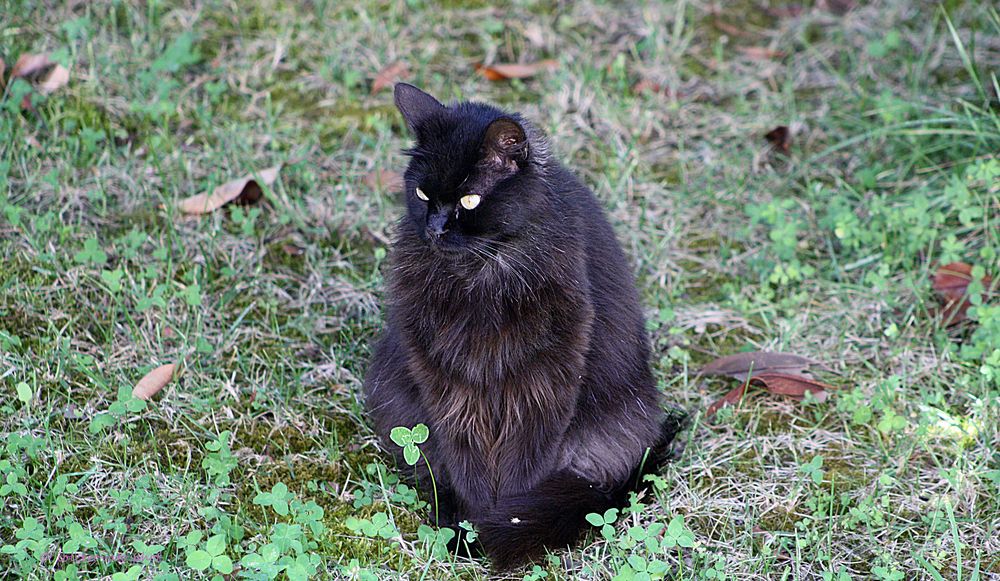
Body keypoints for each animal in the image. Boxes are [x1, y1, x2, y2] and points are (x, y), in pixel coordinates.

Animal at [364, 82, 684, 568]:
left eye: (470, 200)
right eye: (421, 194)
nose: (435, 229)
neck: (480, 278)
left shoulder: (542, 383)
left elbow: (523, 470)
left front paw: (507, 529)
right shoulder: (447, 383)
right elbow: (466, 463)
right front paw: (471, 529)